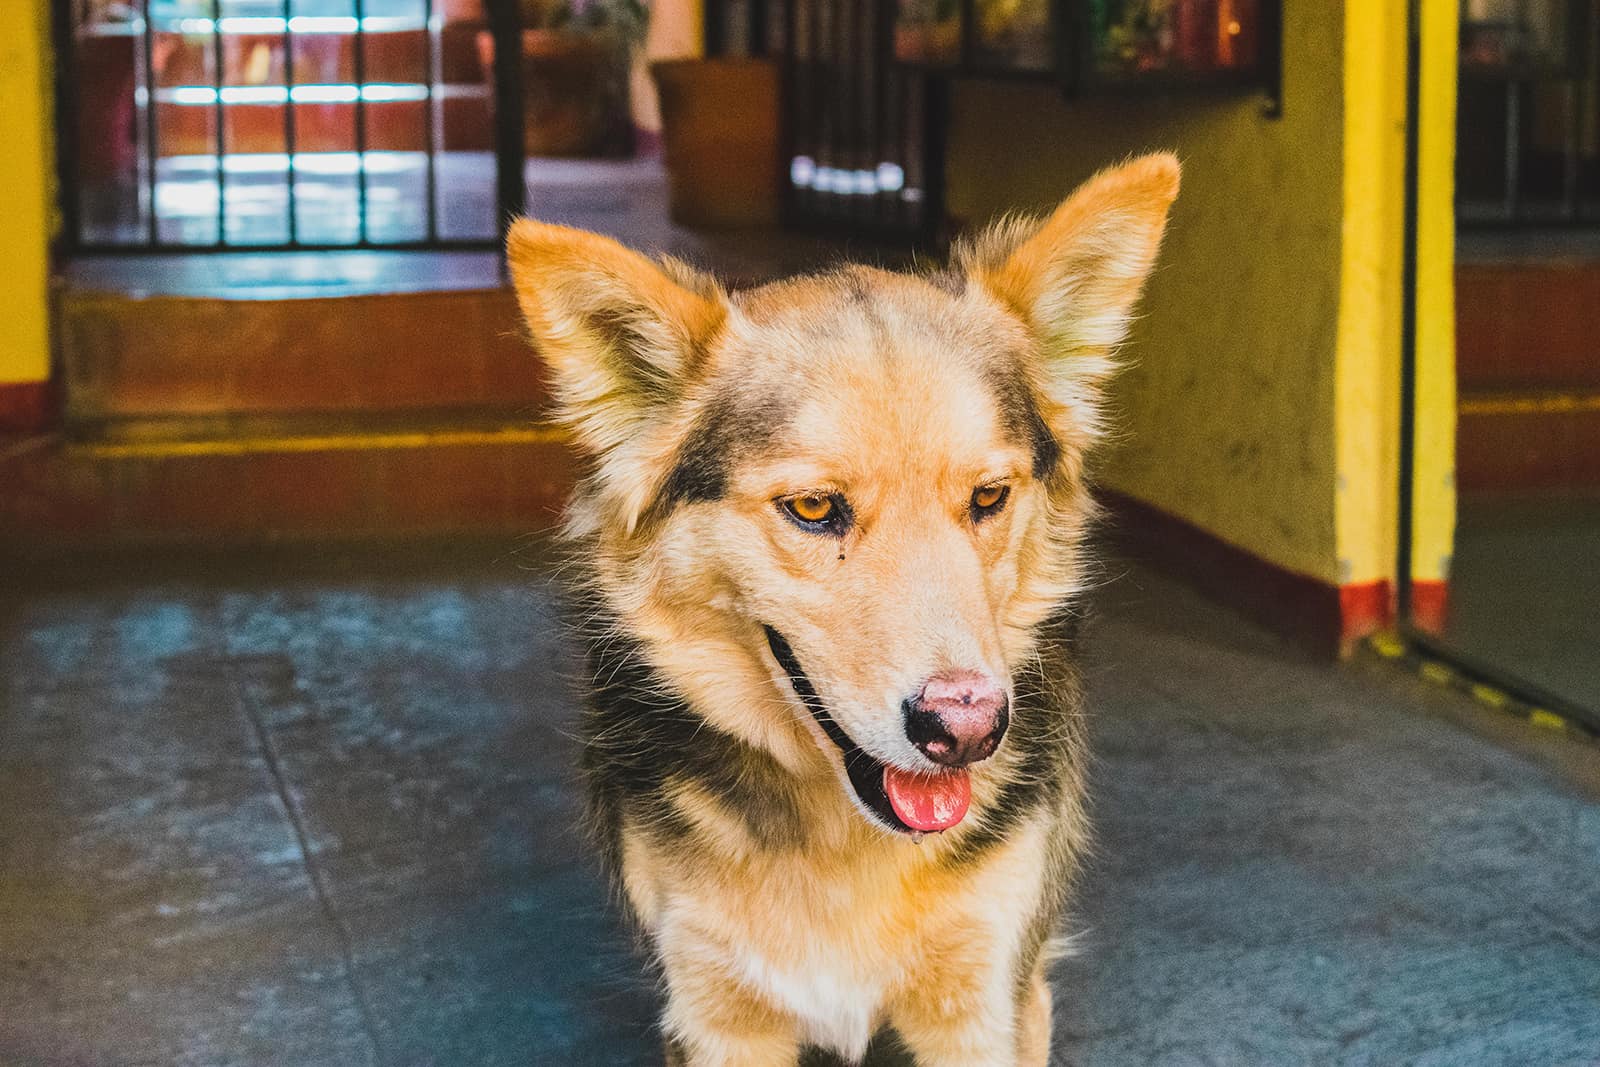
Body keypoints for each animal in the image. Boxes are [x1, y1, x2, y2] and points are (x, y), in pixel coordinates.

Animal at [505, 151, 1184, 1067]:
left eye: (988, 497)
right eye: (816, 508)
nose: (966, 729)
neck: (846, 842)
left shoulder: (986, 1001)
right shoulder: (714, 1014)